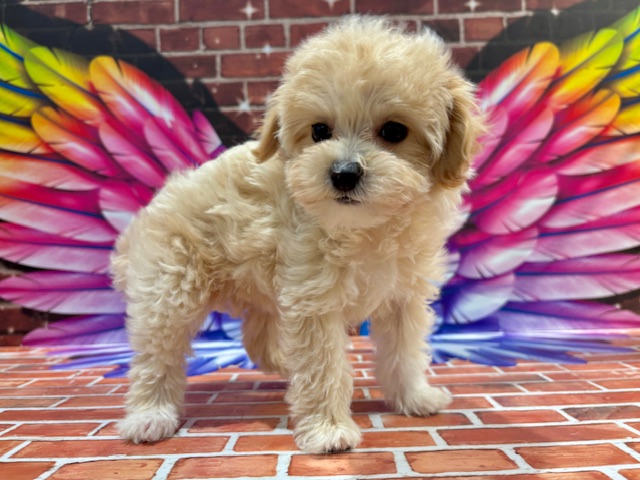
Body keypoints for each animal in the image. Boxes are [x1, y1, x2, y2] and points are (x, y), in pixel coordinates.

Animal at [113, 16, 483, 454]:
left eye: (395, 131)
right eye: (320, 130)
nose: (343, 173)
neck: (365, 226)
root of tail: (149, 211)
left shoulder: (402, 297)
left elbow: (404, 351)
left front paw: (414, 397)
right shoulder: (314, 300)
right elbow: (323, 365)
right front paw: (328, 430)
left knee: (255, 335)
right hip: (169, 289)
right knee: (157, 355)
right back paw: (150, 415)